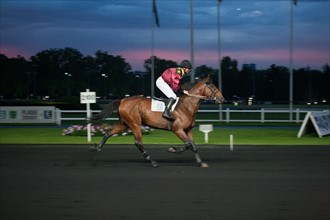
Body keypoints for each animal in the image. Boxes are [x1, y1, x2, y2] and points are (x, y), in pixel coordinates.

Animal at [89, 75, 224, 168]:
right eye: (212, 86)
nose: (222, 98)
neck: (186, 106)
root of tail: (122, 100)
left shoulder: (188, 130)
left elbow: (193, 146)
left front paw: (200, 163)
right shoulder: (177, 129)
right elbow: (188, 144)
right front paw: (172, 149)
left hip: (124, 124)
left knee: (108, 133)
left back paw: (96, 148)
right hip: (134, 124)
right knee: (138, 143)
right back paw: (152, 162)